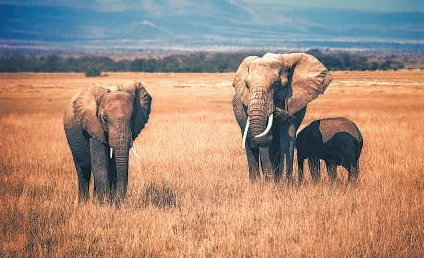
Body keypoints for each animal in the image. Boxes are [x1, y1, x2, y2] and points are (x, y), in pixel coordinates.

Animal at [234, 53, 332, 181]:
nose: (279, 111)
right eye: (247, 86)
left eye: (276, 85)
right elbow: (266, 144)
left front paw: (285, 182)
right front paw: (270, 183)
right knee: (251, 146)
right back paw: (256, 181)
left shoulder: (294, 101)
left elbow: (287, 136)